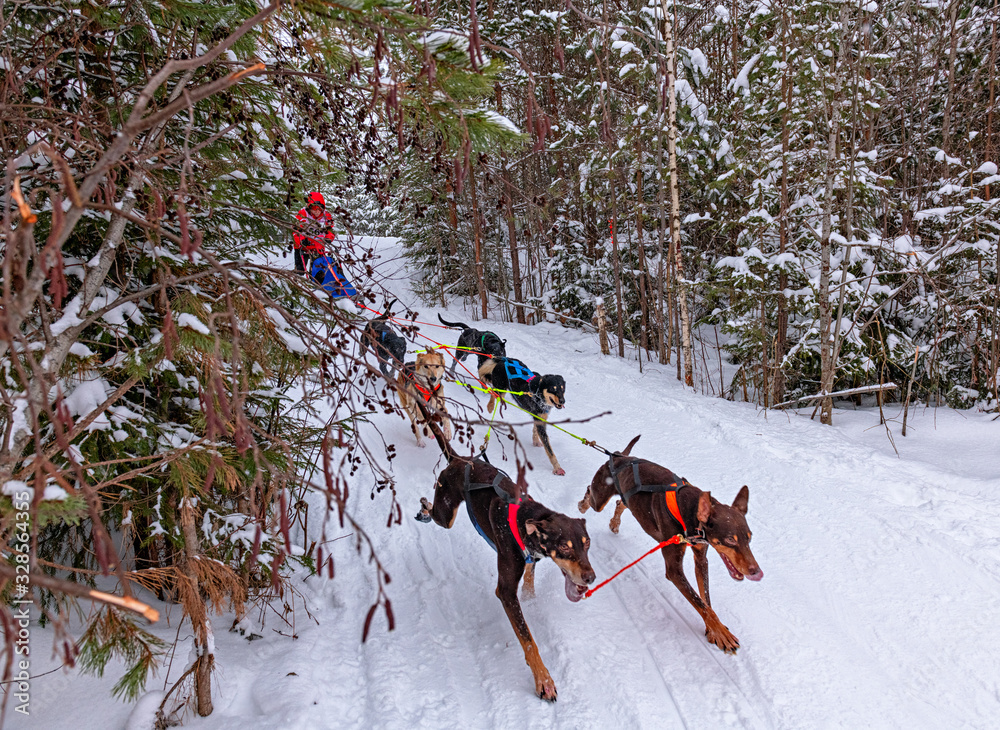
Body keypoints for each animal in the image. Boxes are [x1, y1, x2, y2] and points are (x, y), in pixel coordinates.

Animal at [576, 436, 760, 652]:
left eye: (749, 537)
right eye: (731, 539)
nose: (756, 571)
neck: (689, 510)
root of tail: (620, 456)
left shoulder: (701, 558)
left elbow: (706, 599)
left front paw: (714, 630)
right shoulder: (674, 570)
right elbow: (701, 604)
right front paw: (722, 633)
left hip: (627, 499)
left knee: (621, 502)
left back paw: (615, 522)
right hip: (599, 497)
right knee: (591, 494)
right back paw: (582, 505)